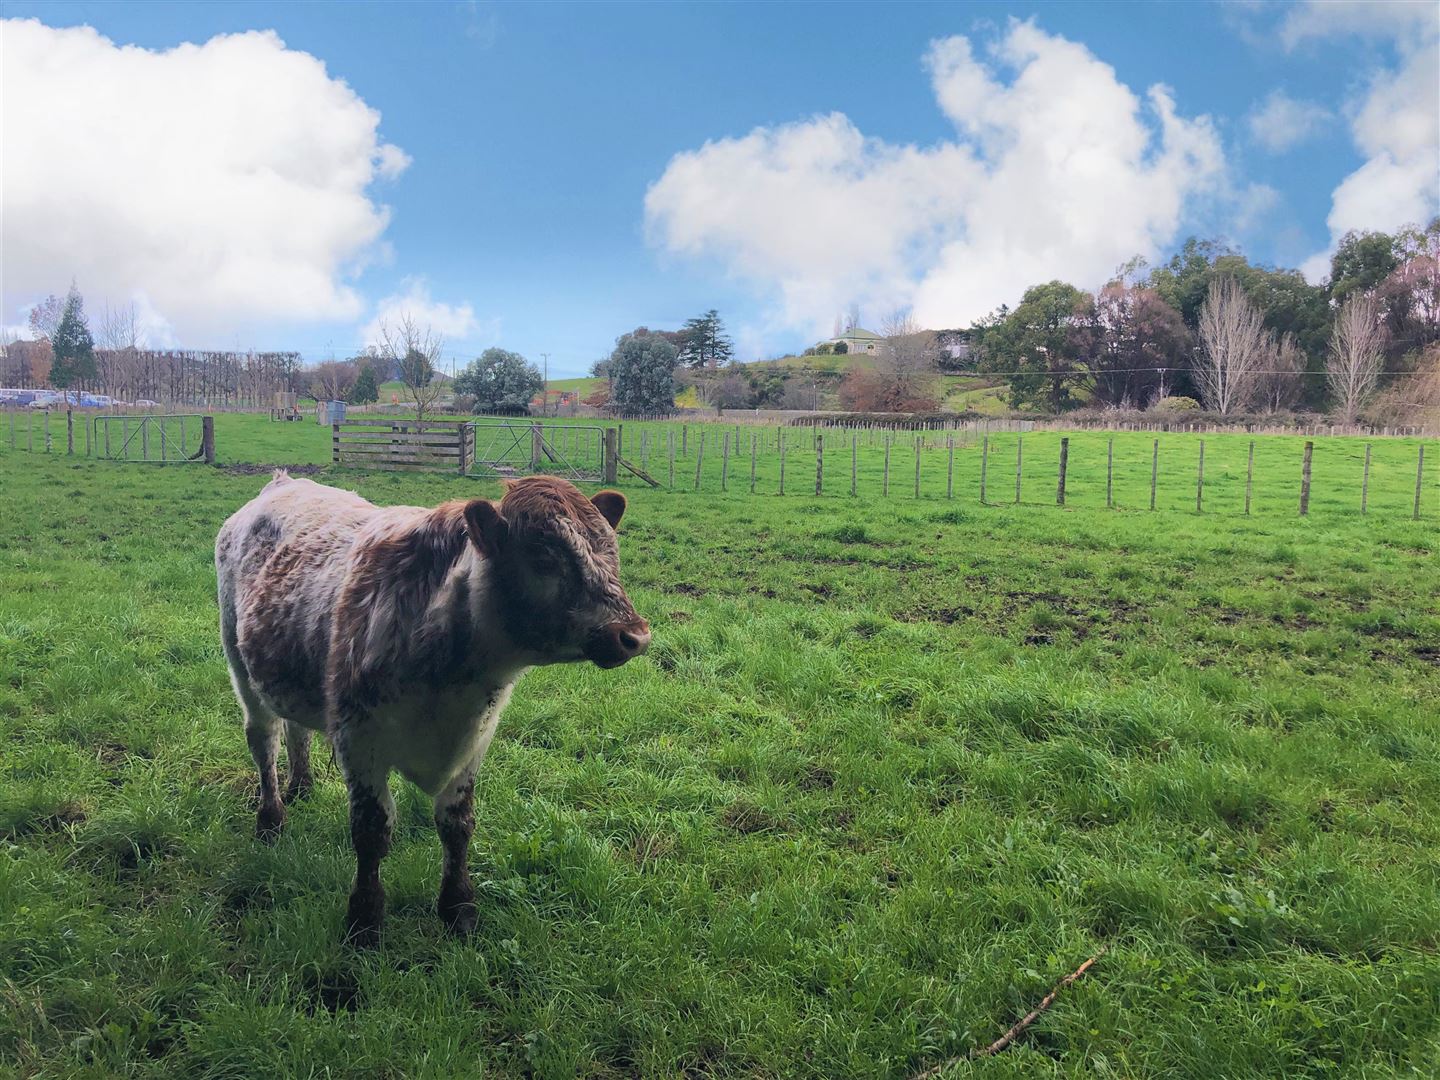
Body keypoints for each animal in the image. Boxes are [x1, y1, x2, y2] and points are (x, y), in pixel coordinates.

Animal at [216, 478, 650, 944]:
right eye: (543, 556)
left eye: (612, 550)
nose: (634, 635)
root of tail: (283, 481)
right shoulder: (358, 740)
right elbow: (371, 830)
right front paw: (365, 918)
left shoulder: (475, 741)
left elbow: (457, 825)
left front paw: (459, 908)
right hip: (241, 669)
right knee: (264, 742)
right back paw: (271, 819)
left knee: (297, 729)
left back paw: (302, 786)